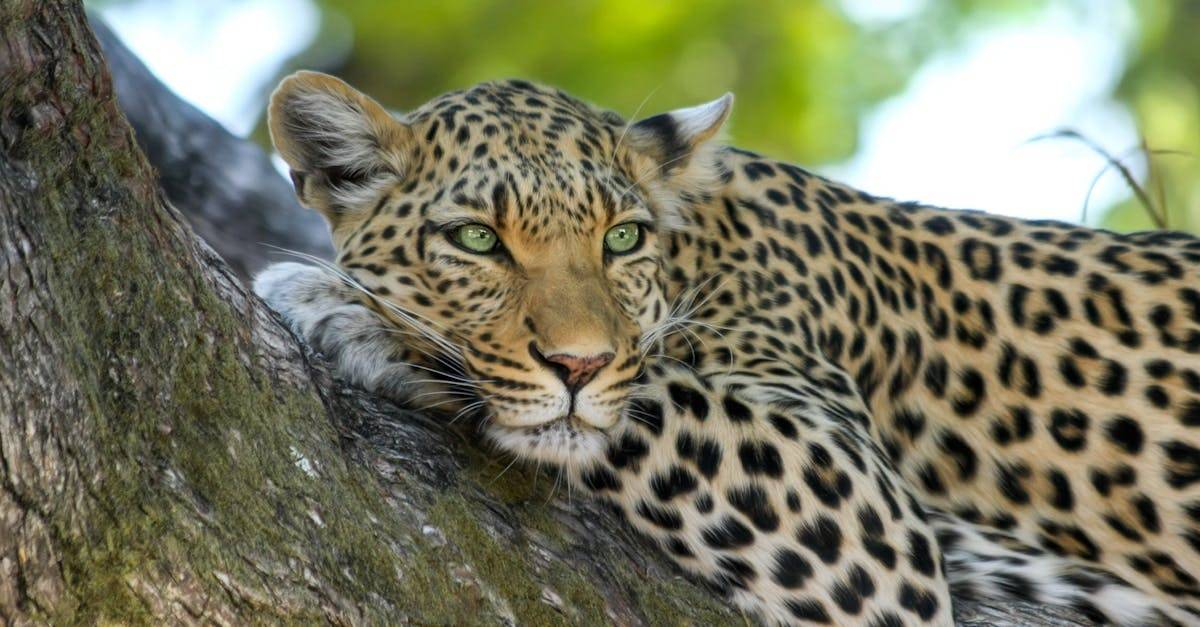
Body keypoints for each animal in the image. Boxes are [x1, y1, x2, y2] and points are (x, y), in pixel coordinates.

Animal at [253, 70, 1200, 626]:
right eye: (478, 240)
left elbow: (652, 394)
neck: (700, 248)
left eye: (622, 238)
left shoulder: (863, 512)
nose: (579, 364)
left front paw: (350, 310)